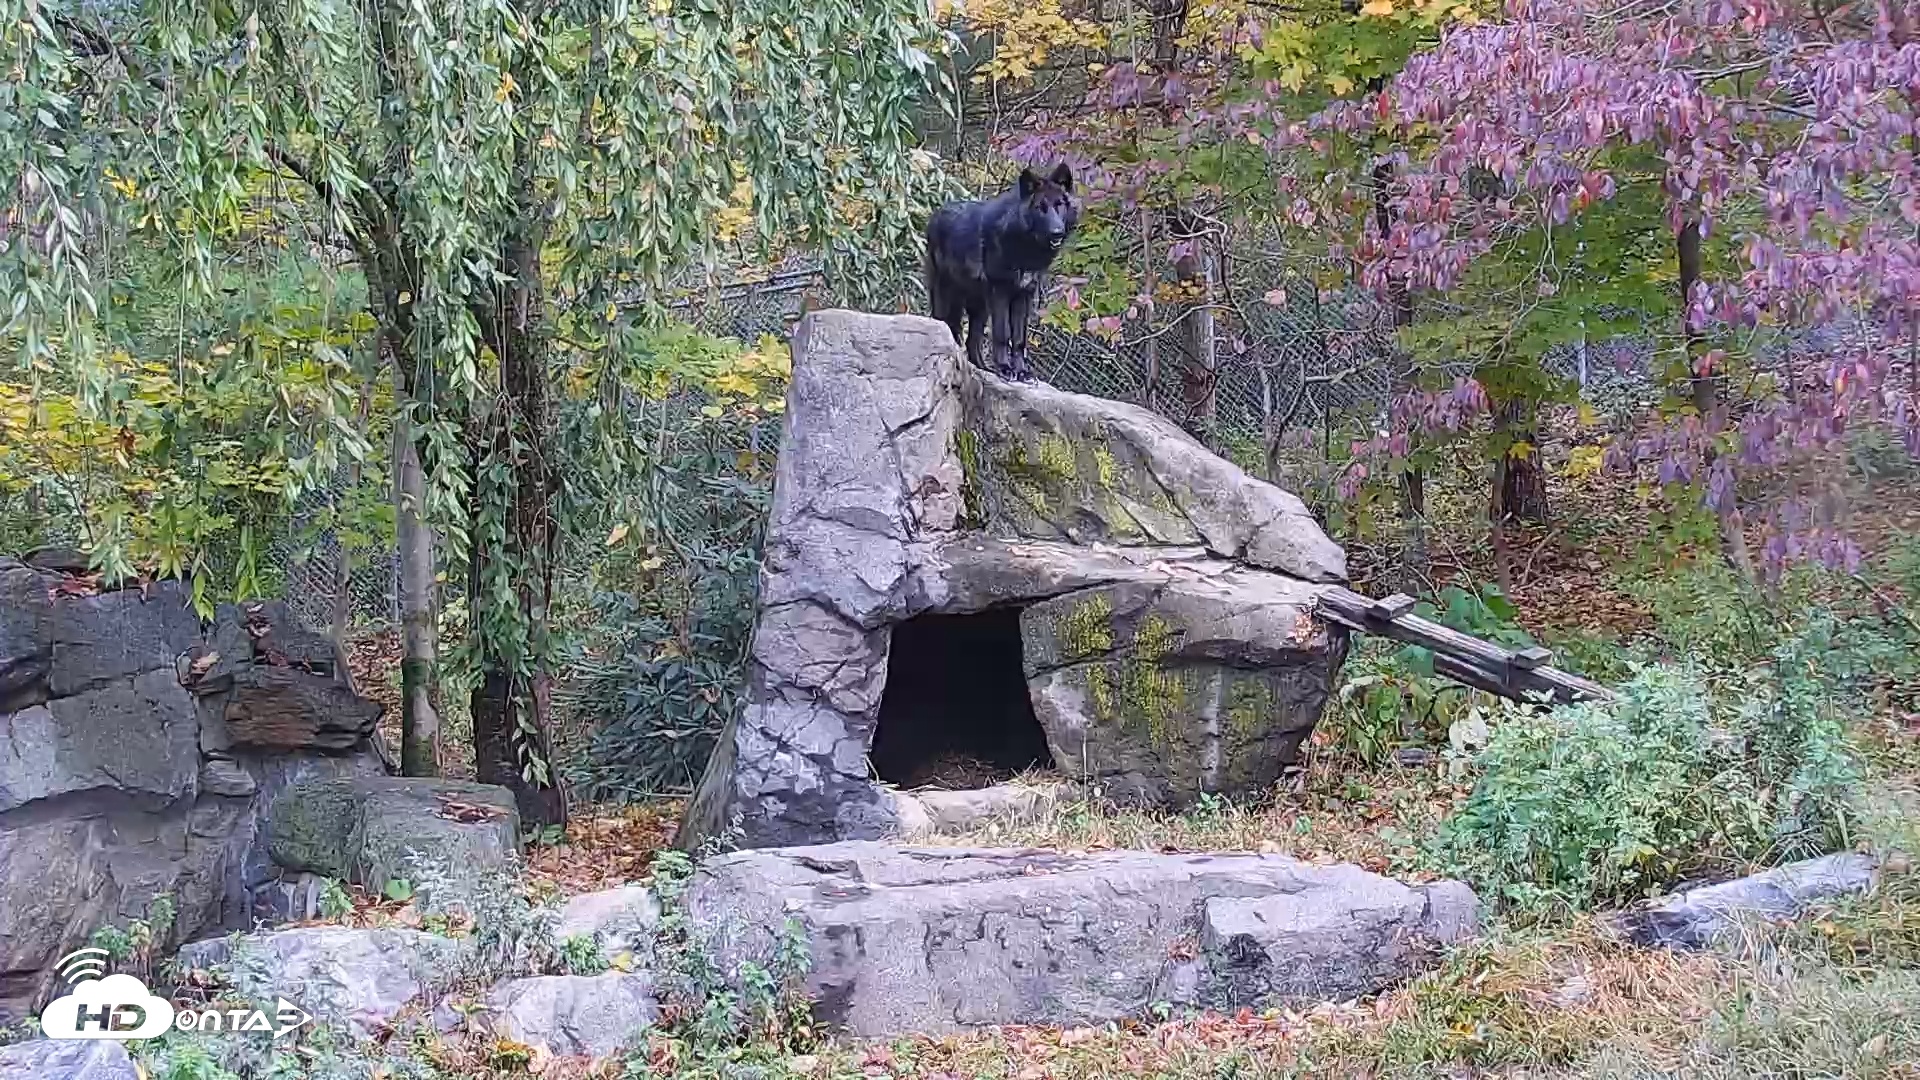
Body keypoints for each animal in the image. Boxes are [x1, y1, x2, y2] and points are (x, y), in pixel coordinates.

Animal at [924, 163, 1079, 382]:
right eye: (1040, 207)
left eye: (1059, 205)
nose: (1057, 232)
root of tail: (936, 214)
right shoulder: (1000, 292)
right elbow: (1002, 334)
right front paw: (1005, 368)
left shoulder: (1024, 295)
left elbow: (1019, 339)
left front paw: (1021, 371)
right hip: (947, 297)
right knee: (949, 326)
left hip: (979, 307)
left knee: (972, 341)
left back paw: (983, 369)